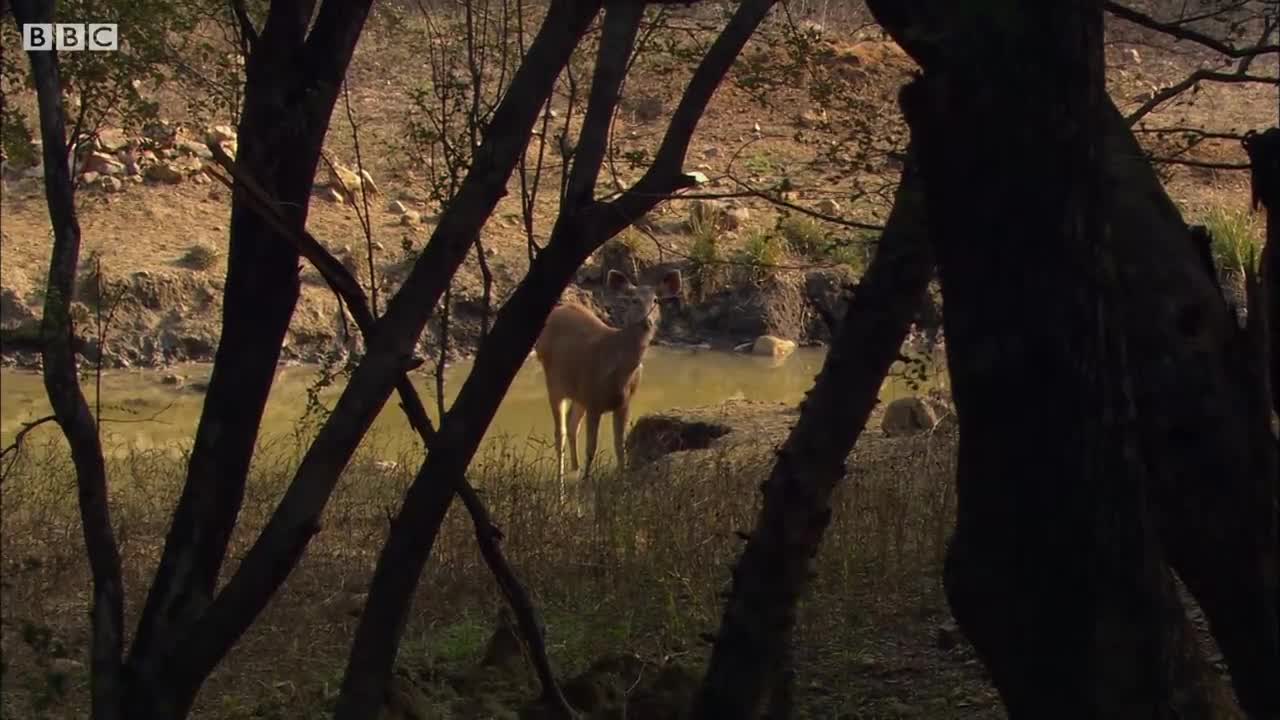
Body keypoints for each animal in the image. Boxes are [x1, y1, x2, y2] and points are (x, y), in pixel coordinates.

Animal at [535, 266, 686, 489]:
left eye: (656, 300)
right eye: (633, 300)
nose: (647, 321)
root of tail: (557, 310)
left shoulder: (623, 403)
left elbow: (619, 447)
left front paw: (622, 479)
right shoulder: (594, 400)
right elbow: (591, 447)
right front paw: (587, 482)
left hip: (578, 392)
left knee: (572, 425)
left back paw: (574, 470)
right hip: (554, 382)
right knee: (560, 432)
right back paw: (562, 480)